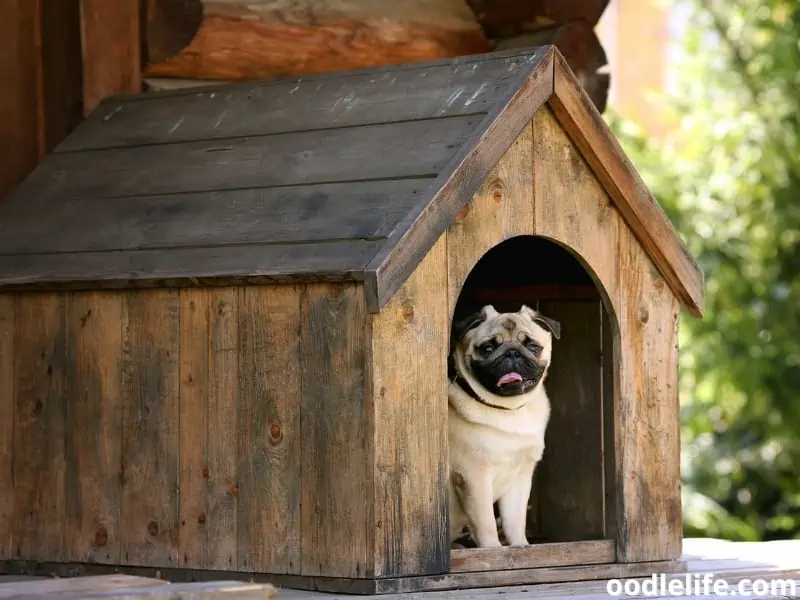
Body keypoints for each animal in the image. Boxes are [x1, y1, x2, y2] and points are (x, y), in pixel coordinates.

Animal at [446, 304, 560, 548]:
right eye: (488, 348)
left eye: (532, 346)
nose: (512, 353)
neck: (509, 410)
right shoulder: (474, 476)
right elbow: (486, 522)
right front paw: (492, 550)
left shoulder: (520, 477)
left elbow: (514, 521)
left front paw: (520, 546)